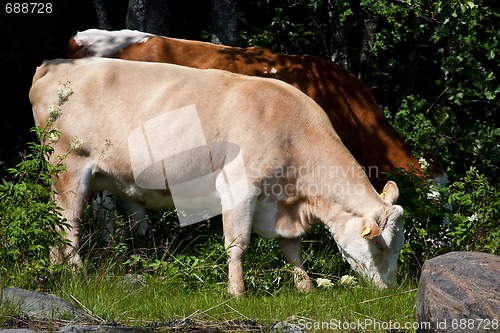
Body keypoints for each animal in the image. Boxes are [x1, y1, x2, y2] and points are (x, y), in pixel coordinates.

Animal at [30, 57, 406, 296]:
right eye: (379, 244)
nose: (389, 289)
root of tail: (54, 65)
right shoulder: (239, 187)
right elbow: (238, 244)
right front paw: (237, 292)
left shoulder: (282, 203)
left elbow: (292, 248)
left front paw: (305, 286)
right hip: (69, 164)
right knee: (70, 222)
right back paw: (76, 273)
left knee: (55, 220)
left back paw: (55, 269)